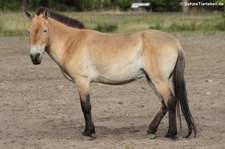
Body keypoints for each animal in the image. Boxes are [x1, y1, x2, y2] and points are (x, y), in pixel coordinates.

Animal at [25, 9, 197, 140]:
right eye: (29, 31)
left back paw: (170, 134)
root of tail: (175, 42)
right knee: (164, 104)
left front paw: (88, 133)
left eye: (45, 30)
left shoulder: (82, 82)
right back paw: (151, 131)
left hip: (158, 80)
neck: (72, 43)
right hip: (152, 80)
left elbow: (86, 107)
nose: (34, 57)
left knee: (171, 101)